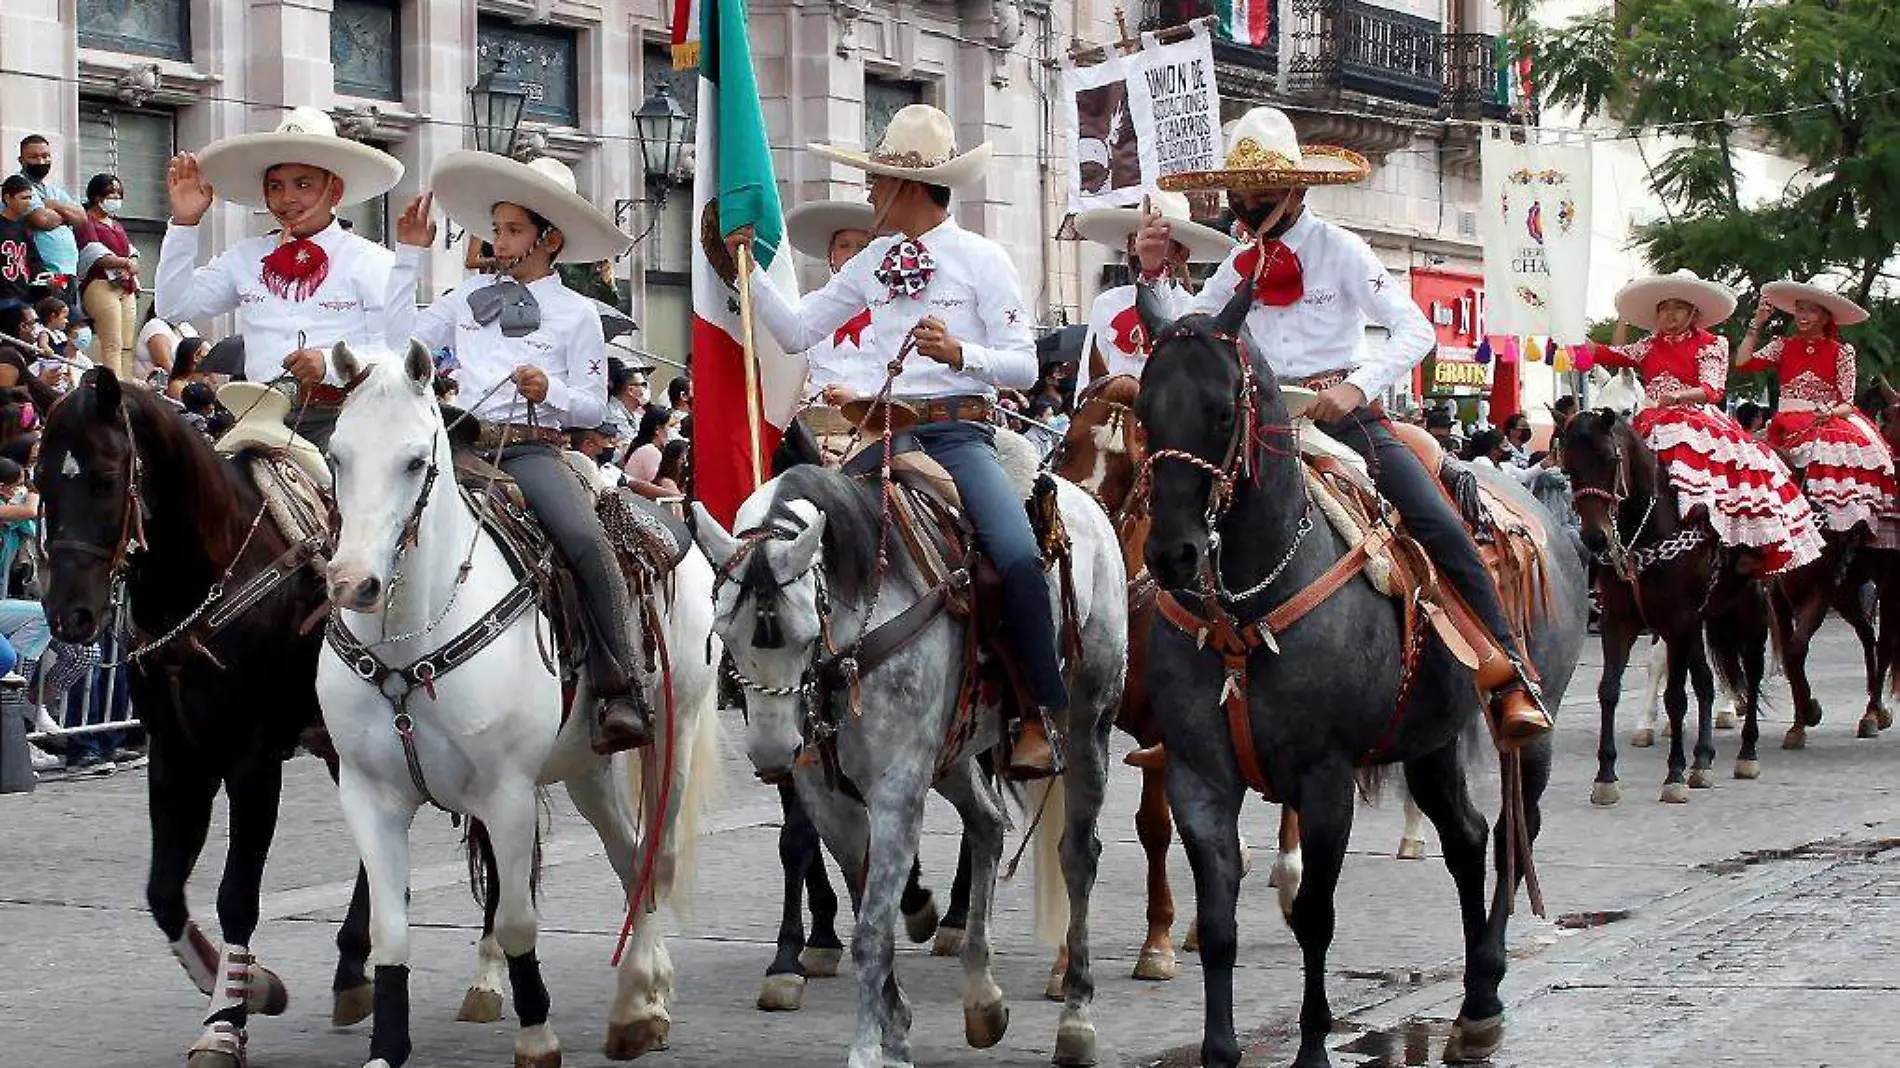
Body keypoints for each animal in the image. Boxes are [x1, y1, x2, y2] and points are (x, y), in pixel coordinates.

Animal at [38, 370, 389, 1056]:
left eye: (107, 477)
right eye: (40, 479)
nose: (69, 614)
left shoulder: (253, 760)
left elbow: (237, 896)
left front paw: (225, 1022)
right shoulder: (177, 755)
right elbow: (163, 893)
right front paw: (247, 985)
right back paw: (352, 967)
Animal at [319, 342, 718, 1064]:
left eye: (414, 460)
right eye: (337, 456)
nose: (352, 583)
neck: (409, 637)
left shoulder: (505, 794)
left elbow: (514, 922)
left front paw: (537, 1034)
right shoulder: (368, 795)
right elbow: (392, 931)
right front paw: (387, 1045)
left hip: (673, 737)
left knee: (654, 860)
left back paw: (642, 1005)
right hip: (588, 765)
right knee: (627, 856)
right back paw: (638, 999)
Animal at [691, 452, 1117, 1064]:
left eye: (805, 631)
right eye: (725, 631)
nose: (774, 753)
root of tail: (1086, 501)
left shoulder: (896, 791)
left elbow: (872, 929)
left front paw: (869, 1047)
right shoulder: (829, 799)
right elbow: (867, 901)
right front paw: (895, 1031)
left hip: (1087, 724)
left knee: (1078, 856)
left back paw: (1076, 1016)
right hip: (952, 752)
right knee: (987, 825)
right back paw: (983, 998)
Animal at [1124, 283, 1588, 1064]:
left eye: (1222, 411)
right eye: (1145, 411)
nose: (1173, 555)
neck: (1248, 609)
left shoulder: (1325, 779)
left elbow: (1315, 915)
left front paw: (1313, 1044)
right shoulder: (1198, 778)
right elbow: (1217, 925)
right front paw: (1220, 1048)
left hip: (1530, 734)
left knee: (1509, 840)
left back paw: (1485, 996)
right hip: (1430, 741)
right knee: (1467, 839)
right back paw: (1474, 998)